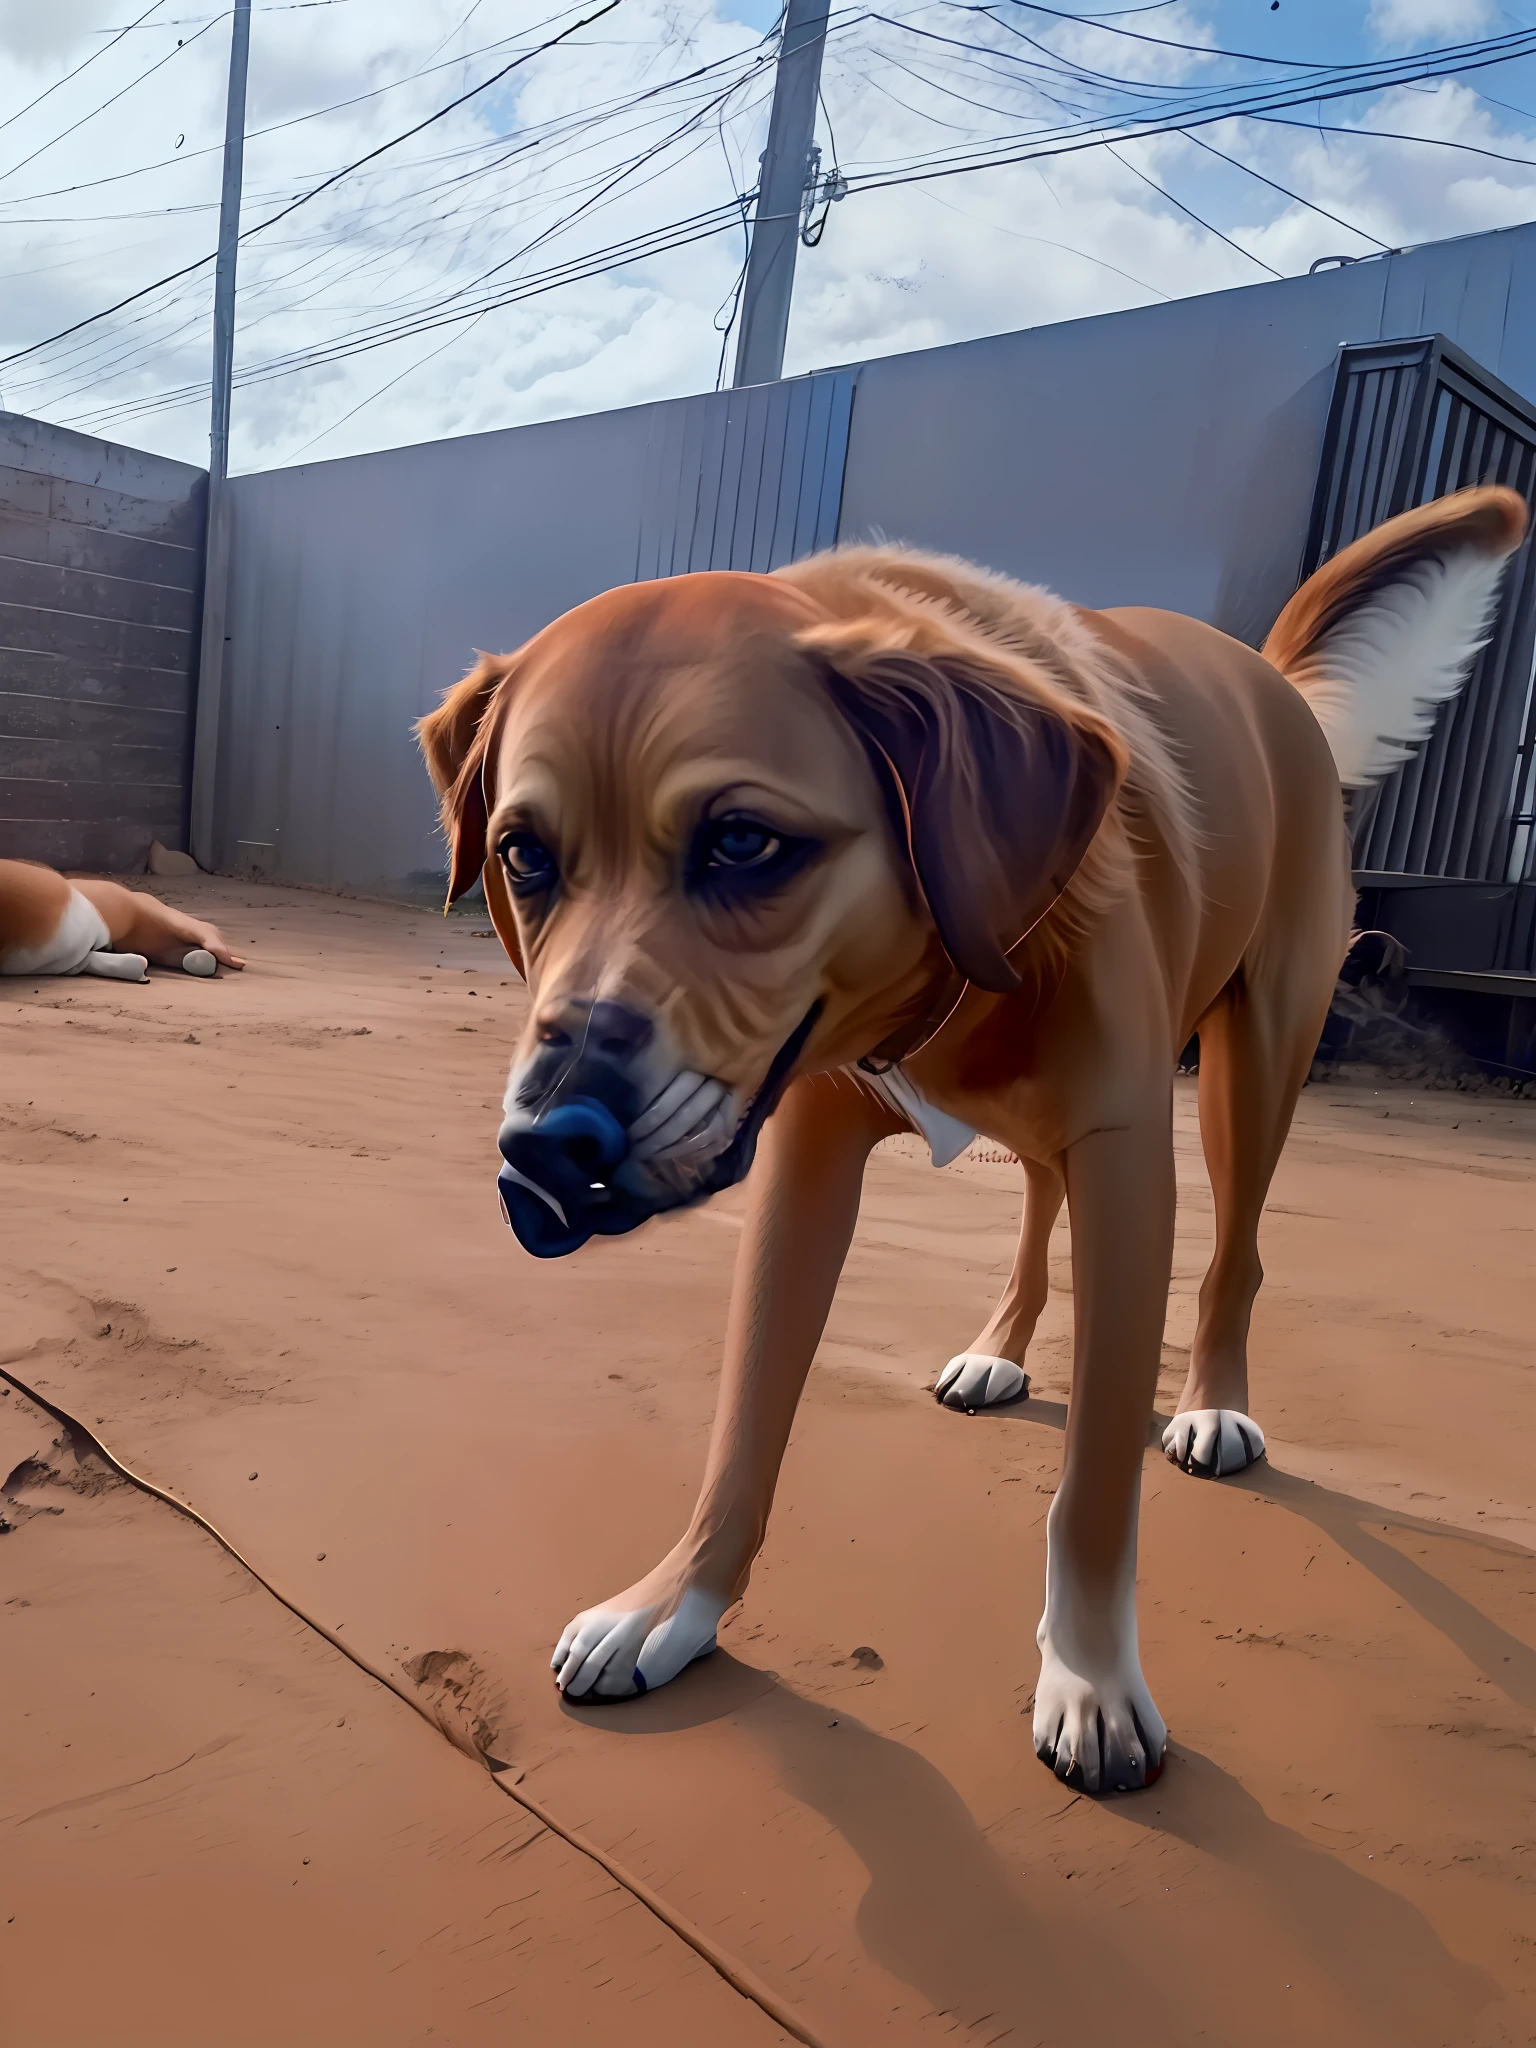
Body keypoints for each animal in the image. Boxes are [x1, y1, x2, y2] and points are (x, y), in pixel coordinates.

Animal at [417, 487, 1531, 1785]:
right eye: (523, 854)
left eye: (743, 841)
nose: (545, 1146)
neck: (954, 952)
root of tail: (1268, 679)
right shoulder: (807, 1158)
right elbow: (747, 1413)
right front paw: (674, 1601)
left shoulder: (1128, 1162)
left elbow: (1095, 1478)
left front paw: (1092, 1678)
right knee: (1037, 1203)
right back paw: (1000, 1343)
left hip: (1255, 1067)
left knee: (1237, 1249)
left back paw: (1213, 1402)